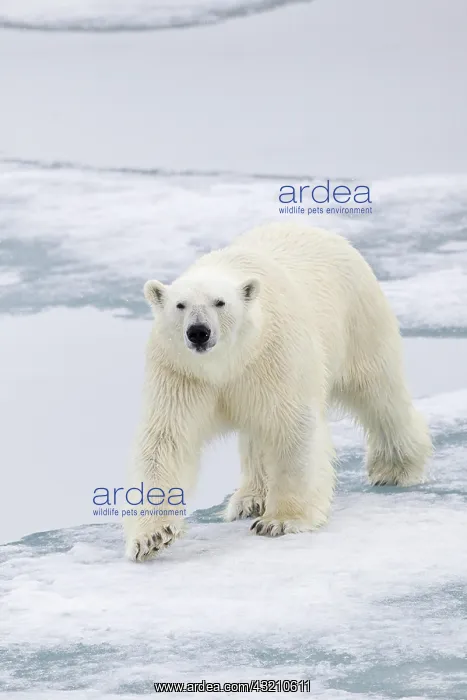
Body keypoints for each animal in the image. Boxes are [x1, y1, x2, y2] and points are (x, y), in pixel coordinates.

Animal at [124, 223, 432, 562]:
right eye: (180, 305)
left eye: (220, 302)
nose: (198, 332)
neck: (228, 363)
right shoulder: (181, 374)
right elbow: (166, 439)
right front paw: (152, 537)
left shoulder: (274, 355)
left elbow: (291, 425)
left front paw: (280, 521)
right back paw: (250, 498)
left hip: (359, 319)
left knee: (379, 392)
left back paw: (396, 467)